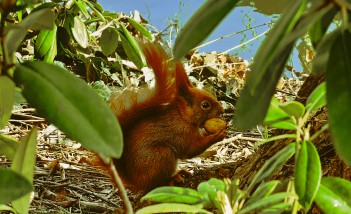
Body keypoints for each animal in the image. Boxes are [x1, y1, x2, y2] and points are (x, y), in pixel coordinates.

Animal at [108, 41, 227, 193]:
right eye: (205, 105)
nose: (222, 111)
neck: (182, 116)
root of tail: (136, 182)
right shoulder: (181, 133)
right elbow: (190, 150)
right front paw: (218, 135)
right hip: (162, 155)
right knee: (155, 184)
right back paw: (170, 180)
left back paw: (178, 173)